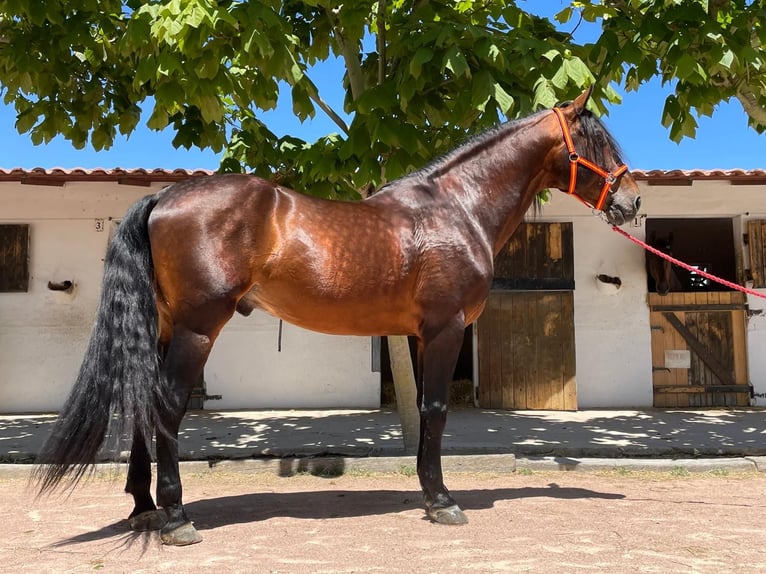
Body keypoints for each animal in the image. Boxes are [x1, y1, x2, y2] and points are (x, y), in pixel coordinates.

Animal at [31, 88, 640, 548]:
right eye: (596, 142)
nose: (632, 202)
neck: (456, 209)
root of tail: (163, 197)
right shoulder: (445, 329)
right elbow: (436, 410)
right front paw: (443, 501)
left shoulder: (423, 335)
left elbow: (427, 412)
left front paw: (428, 493)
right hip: (197, 328)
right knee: (164, 406)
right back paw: (177, 519)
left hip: (162, 327)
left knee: (140, 403)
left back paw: (143, 508)